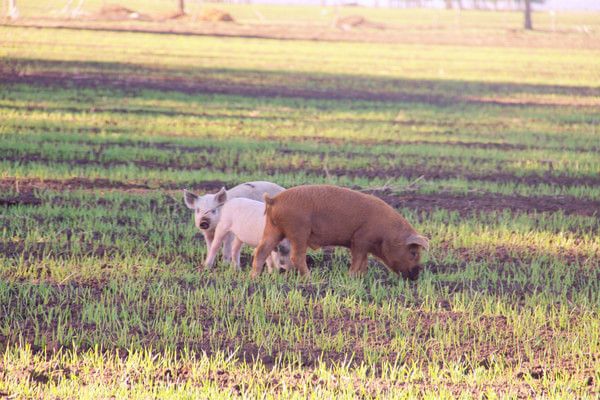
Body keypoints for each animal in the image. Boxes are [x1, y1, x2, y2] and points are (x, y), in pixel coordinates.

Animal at [251, 186, 428, 280]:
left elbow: (364, 261)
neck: (387, 233)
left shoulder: (362, 244)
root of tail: (274, 200)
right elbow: (358, 259)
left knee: (260, 251)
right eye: (413, 252)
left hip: (273, 229)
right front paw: (351, 276)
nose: (416, 275)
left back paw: (254, 277)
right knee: (296, 256)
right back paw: (309, 277)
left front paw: (362, 276)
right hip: (299, 230)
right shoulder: (360, 239)